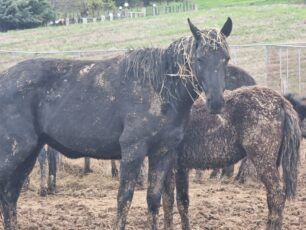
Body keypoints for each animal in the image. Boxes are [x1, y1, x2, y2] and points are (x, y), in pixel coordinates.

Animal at [0, 18, 232, 230]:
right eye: (199, 59)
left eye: (226, 58)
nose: (216, 103)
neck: (159, 89)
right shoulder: (133, 151)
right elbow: (124, 200)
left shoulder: (163, 153)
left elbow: (153, 200)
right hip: (14, 152)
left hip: (29, 154)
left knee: (10, 196)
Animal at [163, 86, 302, 230]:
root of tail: (281, 101)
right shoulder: (181, 168)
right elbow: (182, 203)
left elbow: (167, 202)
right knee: (272, 196)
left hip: (263, 161)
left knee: (277, 194)